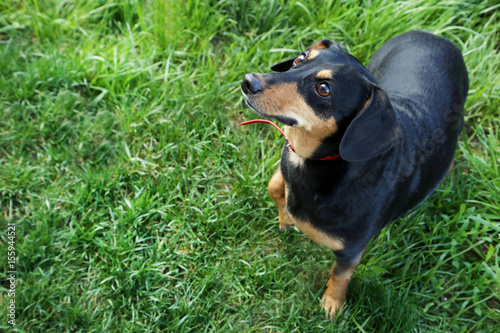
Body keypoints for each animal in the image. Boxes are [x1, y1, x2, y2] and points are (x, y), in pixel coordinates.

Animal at [240, 30, 466, 316]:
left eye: (324, 89)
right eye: (301, 58)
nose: (248, 81)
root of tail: (434, 36)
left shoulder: (352, 250)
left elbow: (340, 274)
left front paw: (332, 303)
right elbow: (275, 187)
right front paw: (285, 218)